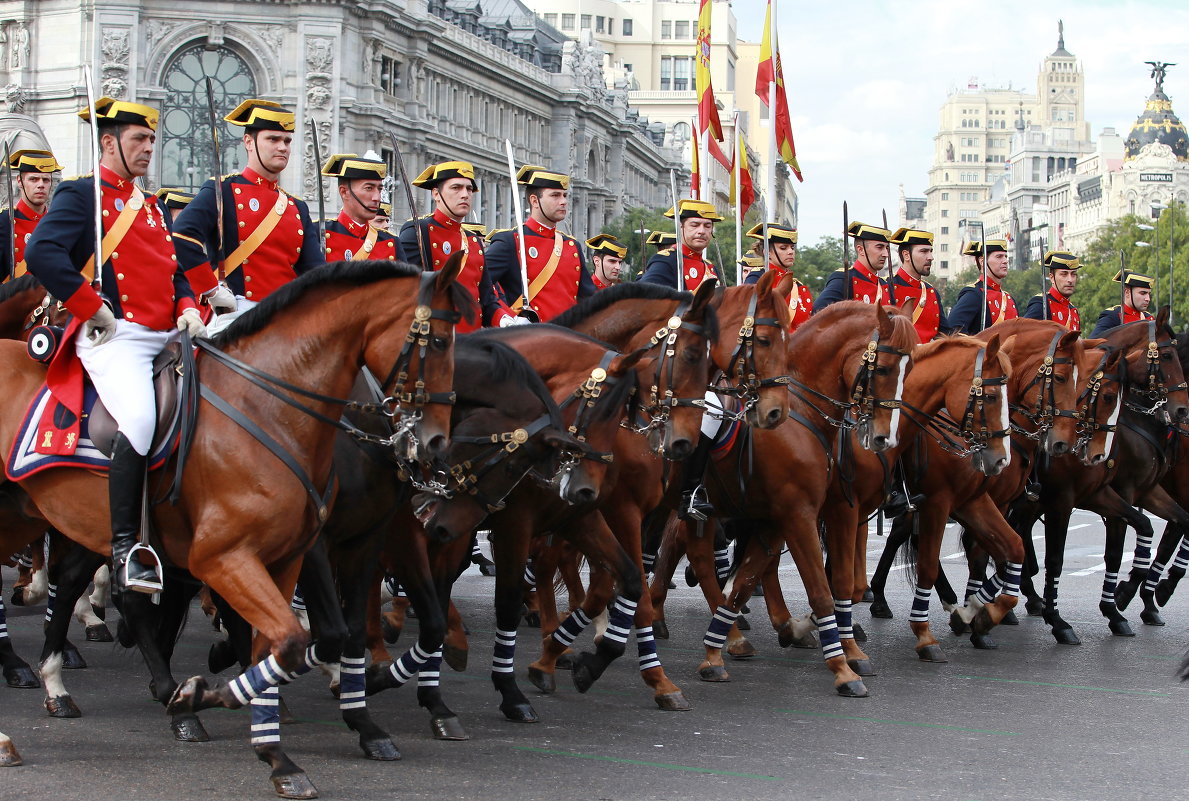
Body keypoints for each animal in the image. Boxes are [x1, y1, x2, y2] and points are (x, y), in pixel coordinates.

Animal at [6, 259, 473, 793]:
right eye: (442, 340)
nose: (434, 445)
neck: (270, 408)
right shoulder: (229, 558)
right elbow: (299, 638)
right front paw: (207, 697)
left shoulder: (313, 551)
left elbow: (298, 643)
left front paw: (279, 746)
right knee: (94, 588)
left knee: (86, 586)